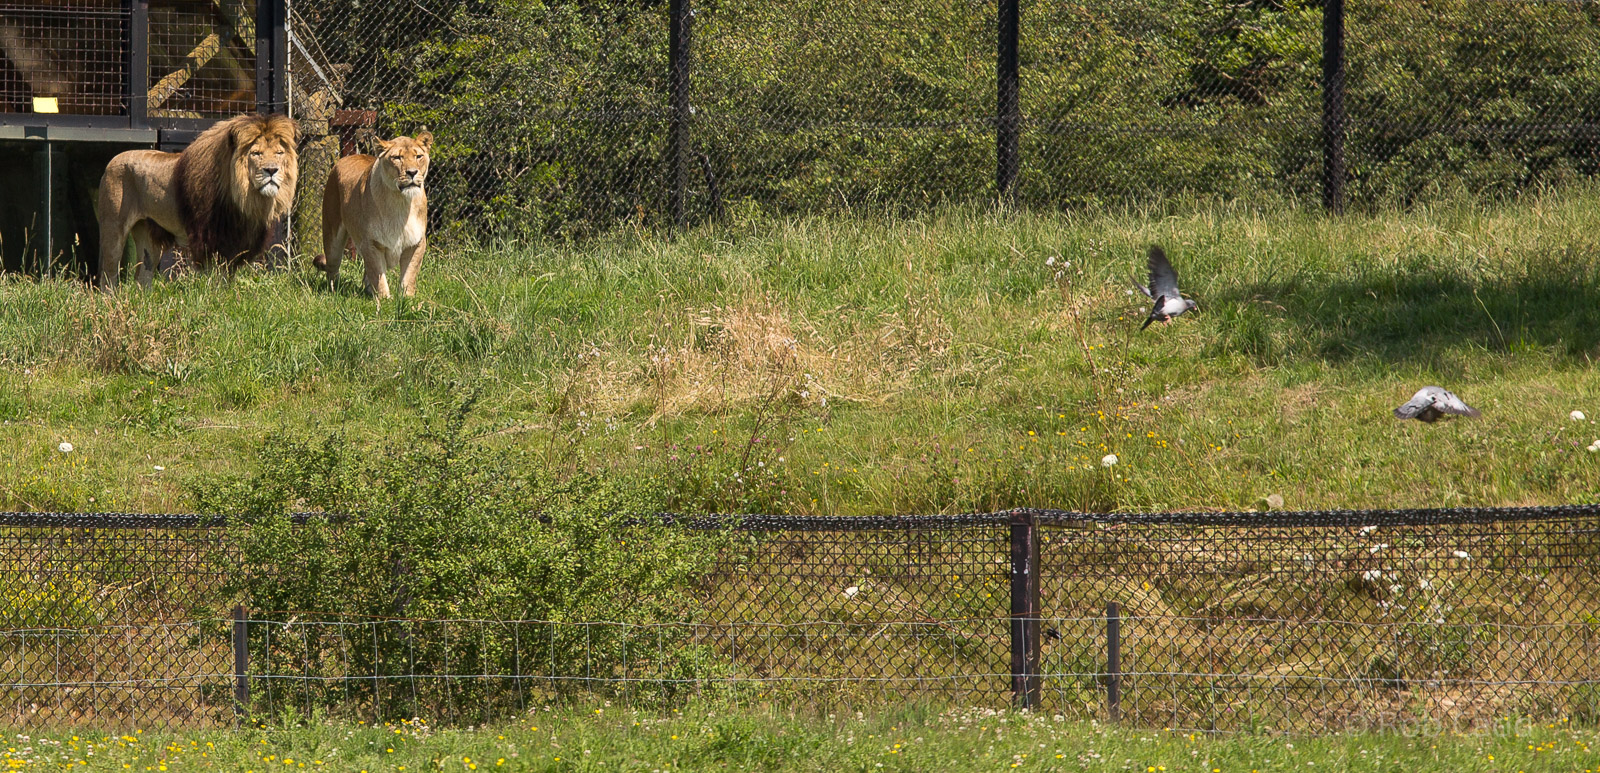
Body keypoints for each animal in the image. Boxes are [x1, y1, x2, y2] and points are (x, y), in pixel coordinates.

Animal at [95, 113, 298, 288]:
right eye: (255, 153)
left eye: (279, 153)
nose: (271, 170)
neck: (246, 198)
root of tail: (112, 160)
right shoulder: (211, 241)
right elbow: (216, 281)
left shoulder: (234, 244)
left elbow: (227, 280)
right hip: (113, 228)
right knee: (108, 275)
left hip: (148, 234)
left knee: (142, 277)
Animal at [313, 132, 432, 298]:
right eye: (397, 157)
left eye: (418, 156)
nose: (412, 172)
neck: (400, 202)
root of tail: (349, 156)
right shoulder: (370, 243)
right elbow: (378, 276)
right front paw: (384, 300)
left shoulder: (416, 243)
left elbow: (409, 275)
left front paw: (407, 299)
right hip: (332, 236)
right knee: (332, 268)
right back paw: (333, 292)